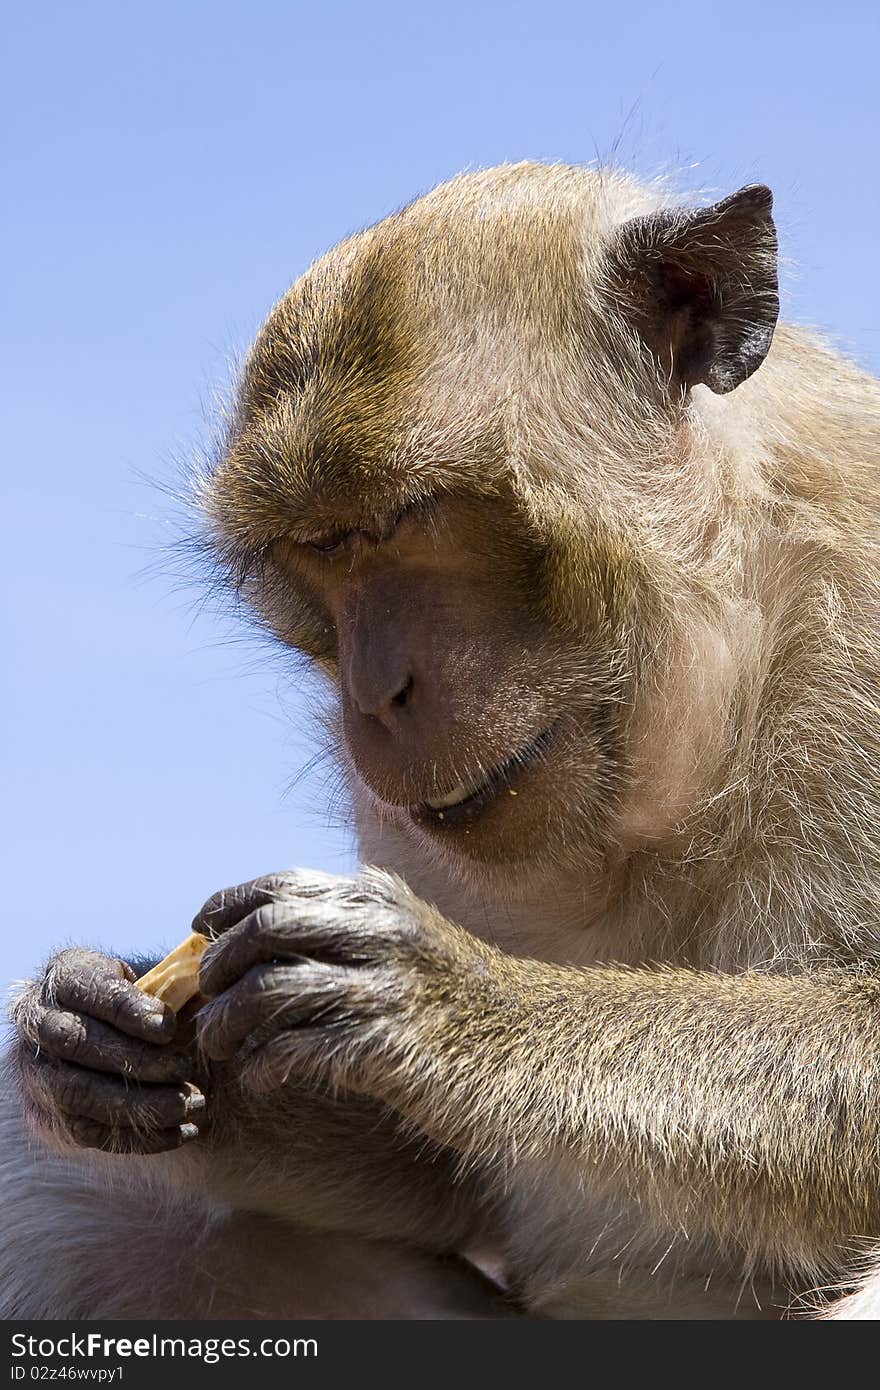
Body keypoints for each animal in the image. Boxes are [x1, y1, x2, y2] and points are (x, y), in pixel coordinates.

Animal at [5, 157, 878, 1317]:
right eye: (317, 550)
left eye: (402, 519)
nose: (375, 694)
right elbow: (448, 1173)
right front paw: (77, 1021)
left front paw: (456, 1003)